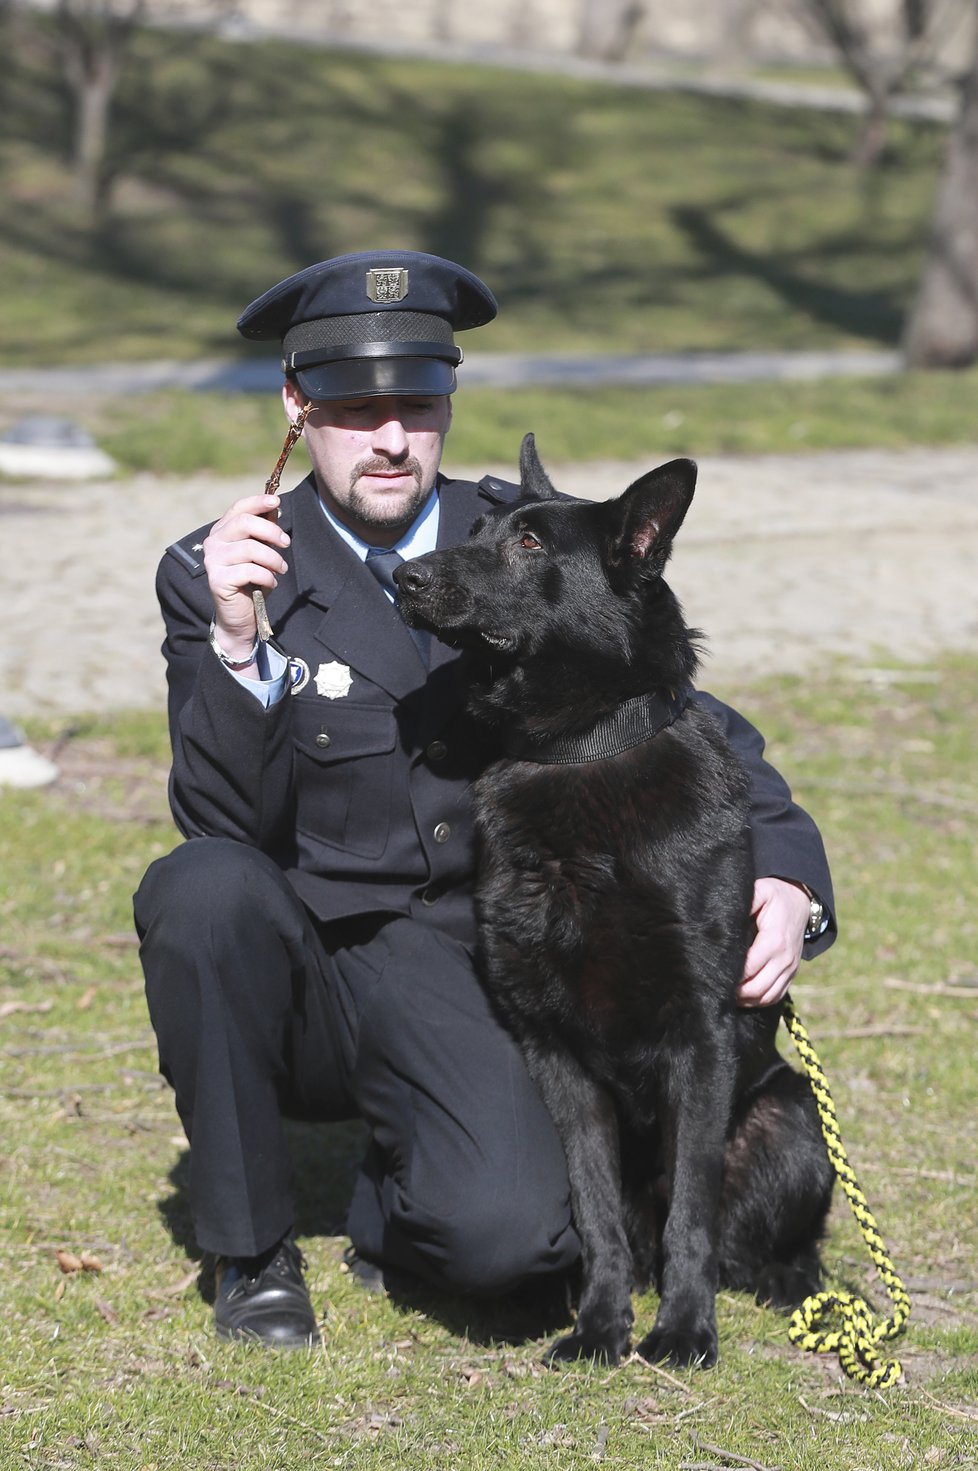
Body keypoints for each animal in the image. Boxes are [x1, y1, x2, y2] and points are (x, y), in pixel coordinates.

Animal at [394, 435, 829, 1365]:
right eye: (474, 531)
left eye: (529, 545)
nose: (403, 576)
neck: (581, 750)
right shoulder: (556, 1052)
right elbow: (594, 1209)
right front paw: (600, 1324)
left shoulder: (699, 1042)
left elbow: (691, 1213)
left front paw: (685, 1328)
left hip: (793, 1118)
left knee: (760, 1241)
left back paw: (793, 1287)